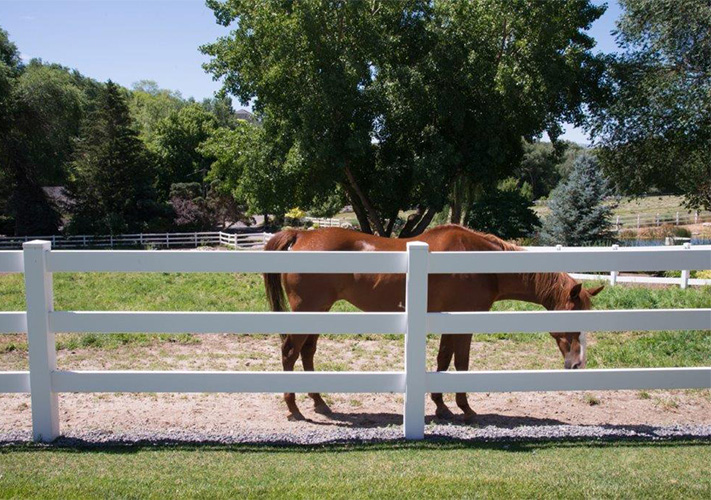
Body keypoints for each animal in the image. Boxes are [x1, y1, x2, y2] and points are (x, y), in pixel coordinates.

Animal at [263, 224, 604, 422]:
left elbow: (443, 360)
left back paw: (319, 402)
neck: (481, 262)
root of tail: (302, 234)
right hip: (309, 310)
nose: (577, 363)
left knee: (307, 353)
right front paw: (465, 408)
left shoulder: (446, 320)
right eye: (574, 316)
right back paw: (294, 409)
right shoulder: (463, 322)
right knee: (290, 353)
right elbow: (461, 363)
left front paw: (441, 406)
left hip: (319, 311)